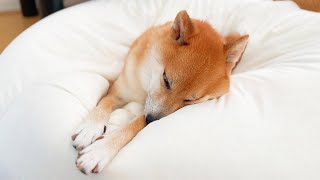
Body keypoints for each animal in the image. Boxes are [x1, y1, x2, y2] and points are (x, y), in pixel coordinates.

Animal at [71, 10, 249, 174]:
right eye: (166, 80)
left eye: (189, 100)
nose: (152, 120)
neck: (144, 88)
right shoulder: (119, 91)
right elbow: (104, 105)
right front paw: (90, 128)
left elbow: (133, 125)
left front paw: (100, 151)